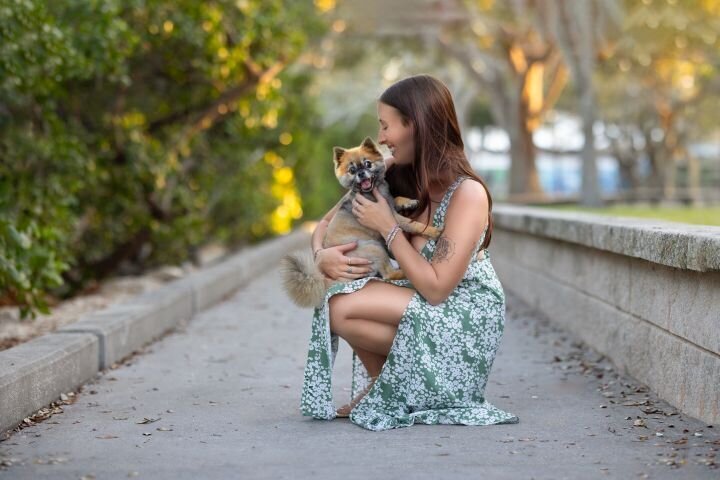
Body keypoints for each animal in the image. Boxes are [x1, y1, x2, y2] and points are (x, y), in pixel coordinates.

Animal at [282, 137, 444, 310]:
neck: (373, 191)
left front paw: (409, 202)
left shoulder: (390, 205)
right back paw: (404, 273)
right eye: (352, 171)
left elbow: (397, 198)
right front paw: (433, 231)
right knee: (388, 274)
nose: (360, 173)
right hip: (374, 248)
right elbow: (412, 223)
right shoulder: (392, 217)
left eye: (368, 164)